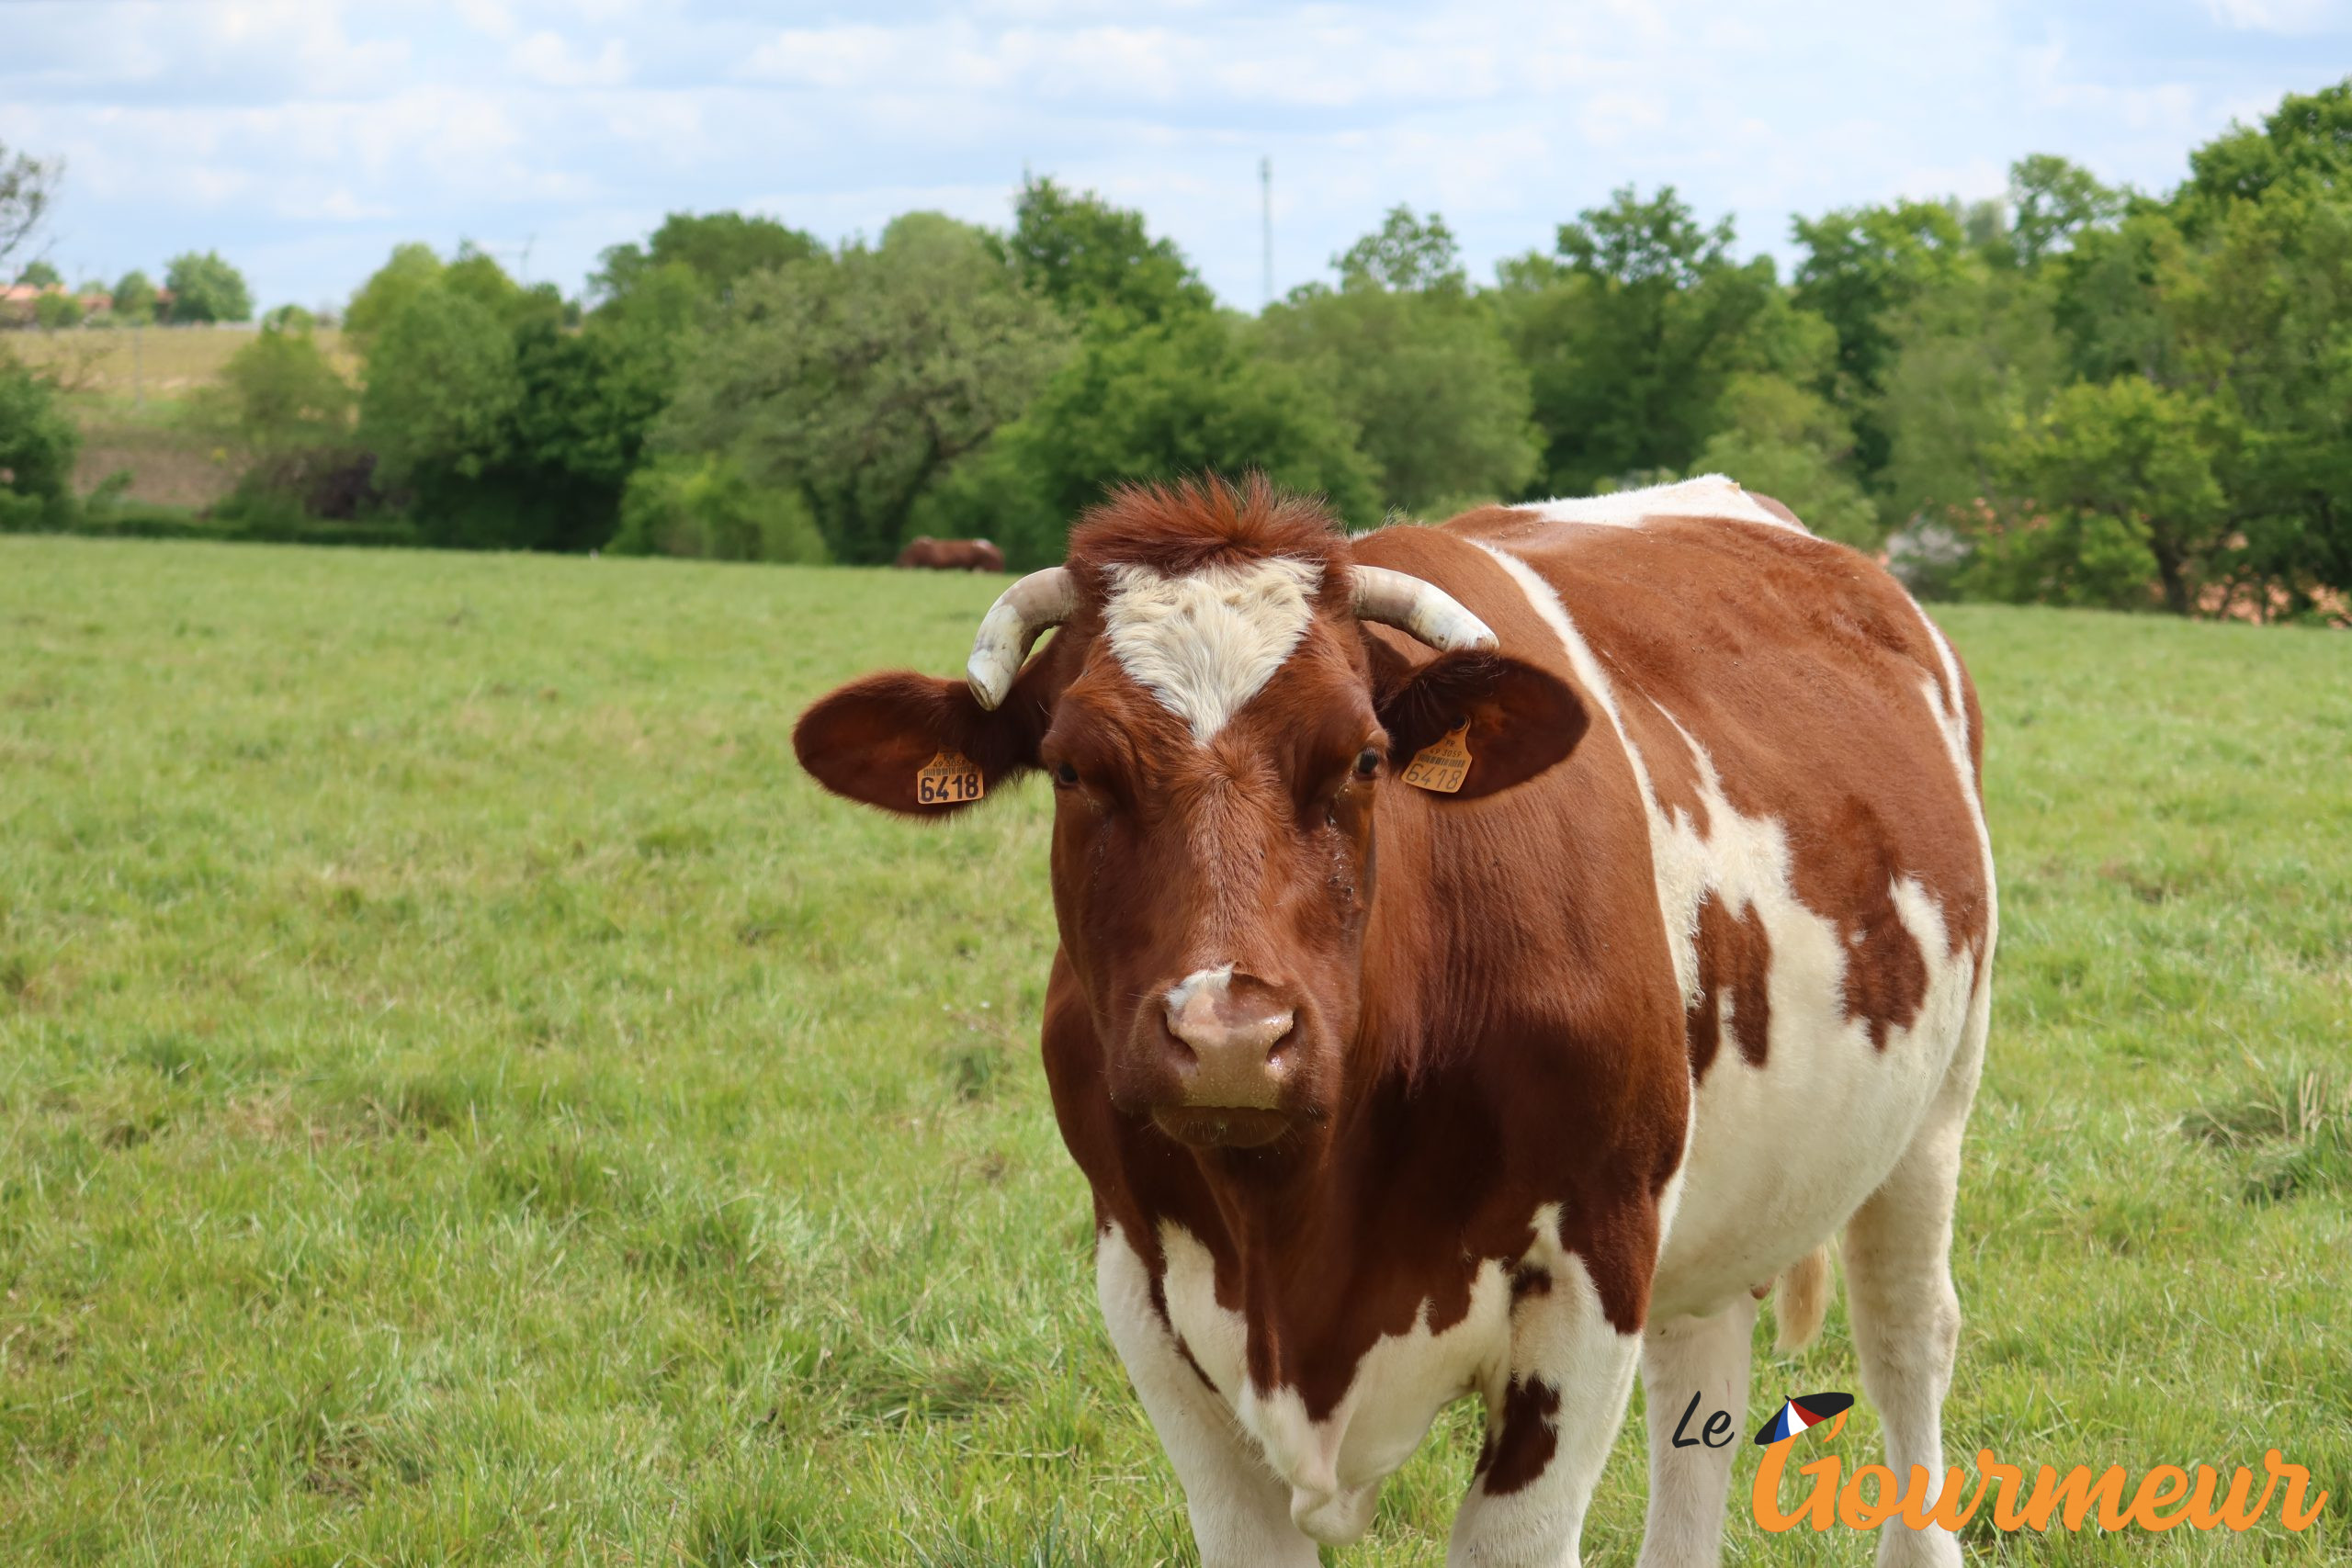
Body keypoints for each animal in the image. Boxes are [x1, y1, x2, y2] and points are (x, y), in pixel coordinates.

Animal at [799, 474, 1994, 1568]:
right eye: (1070, 769)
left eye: (1364, 758)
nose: (1228, 1036)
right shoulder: (1139, 1284)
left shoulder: (1595, 1261)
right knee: (1699, 1376)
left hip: (1932, 1115)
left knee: (1906, 1340)